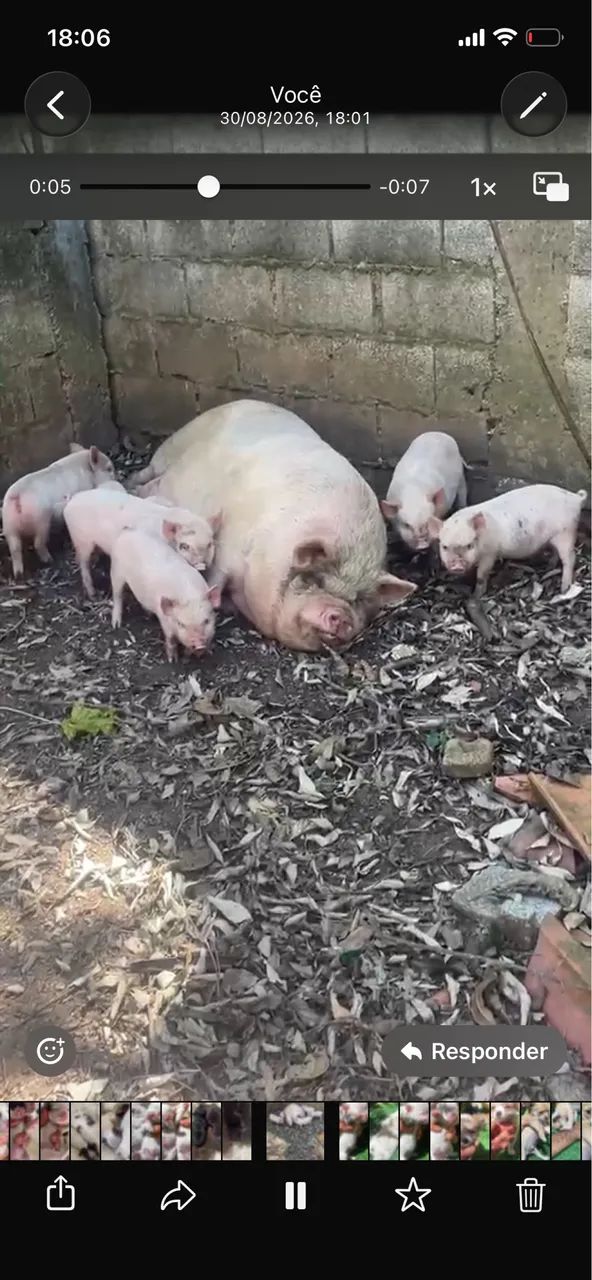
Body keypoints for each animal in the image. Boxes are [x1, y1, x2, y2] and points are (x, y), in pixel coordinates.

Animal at [2, 444, 116, 578]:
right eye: (109, 469)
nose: (116, 478)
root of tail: (17, 495)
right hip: (41, 520)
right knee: (38, 543)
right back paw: (49, 560)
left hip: (8, 524)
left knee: (15, 548)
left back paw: (19, 574)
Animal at [64, 487, 219, 598]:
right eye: (184, 546)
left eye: (210, 544)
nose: (202, 564)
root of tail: (71, 500)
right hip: (81, 539)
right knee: (83, 562)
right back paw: (93, 594)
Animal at [110, 528, 221, 661]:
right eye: (180, 624)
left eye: (206, 621)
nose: (199, 645)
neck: (189, 593)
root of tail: (126, 532)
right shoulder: (164, 621)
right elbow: (171, 640)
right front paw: (173, 660)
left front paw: (192, 655)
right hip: (116, 571)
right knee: (117, 595)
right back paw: (116, 624)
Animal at [129, 399, 416, 652]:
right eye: (316, 579)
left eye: (359, 599)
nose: (342, 616)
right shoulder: (227, 550)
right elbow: (216, 578)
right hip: (173, 455)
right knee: (150, 478)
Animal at [431, 484, 587, 597]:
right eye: (444, 546)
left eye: (469, 545)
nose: (457, 566)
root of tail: (576, 498)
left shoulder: (490, 553)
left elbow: (482, 574)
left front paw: (476, 595)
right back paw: (549, 566)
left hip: (566, 532)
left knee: (570, 558)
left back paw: (564, 589)